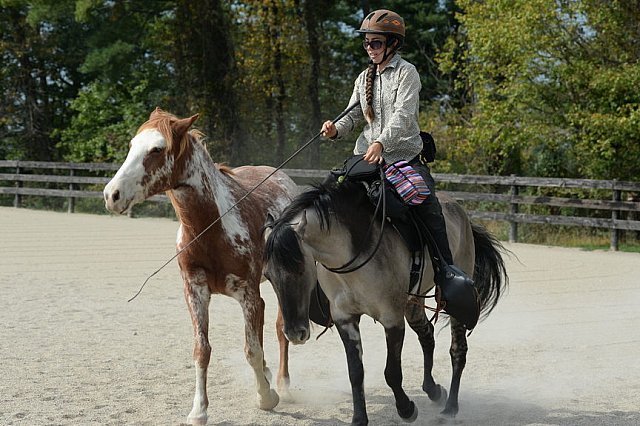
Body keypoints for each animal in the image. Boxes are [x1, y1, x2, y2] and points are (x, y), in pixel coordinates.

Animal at [103, 109, 298, 426]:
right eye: (132, 145)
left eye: (157, 149)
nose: (112, 195)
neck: (212, 226)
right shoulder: (195, 292)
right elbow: (202, 350)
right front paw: (199, 410)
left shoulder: (247, 294)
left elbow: (252, 350)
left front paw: (266, 397)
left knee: (282, 330)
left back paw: (283, 384)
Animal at [262, 180, 508, 426]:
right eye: (268, 276)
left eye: (300, 268)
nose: (295, 333)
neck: (354, 251)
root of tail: (462, 214)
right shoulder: (345, 319)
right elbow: (356, 372)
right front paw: (359, 418)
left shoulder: (392, 319)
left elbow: (392, 373)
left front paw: (407, 409)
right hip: (412, 303)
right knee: (427, 334)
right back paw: (433, 390)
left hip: (452, 302)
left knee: (458, 350)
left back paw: (450, 407)